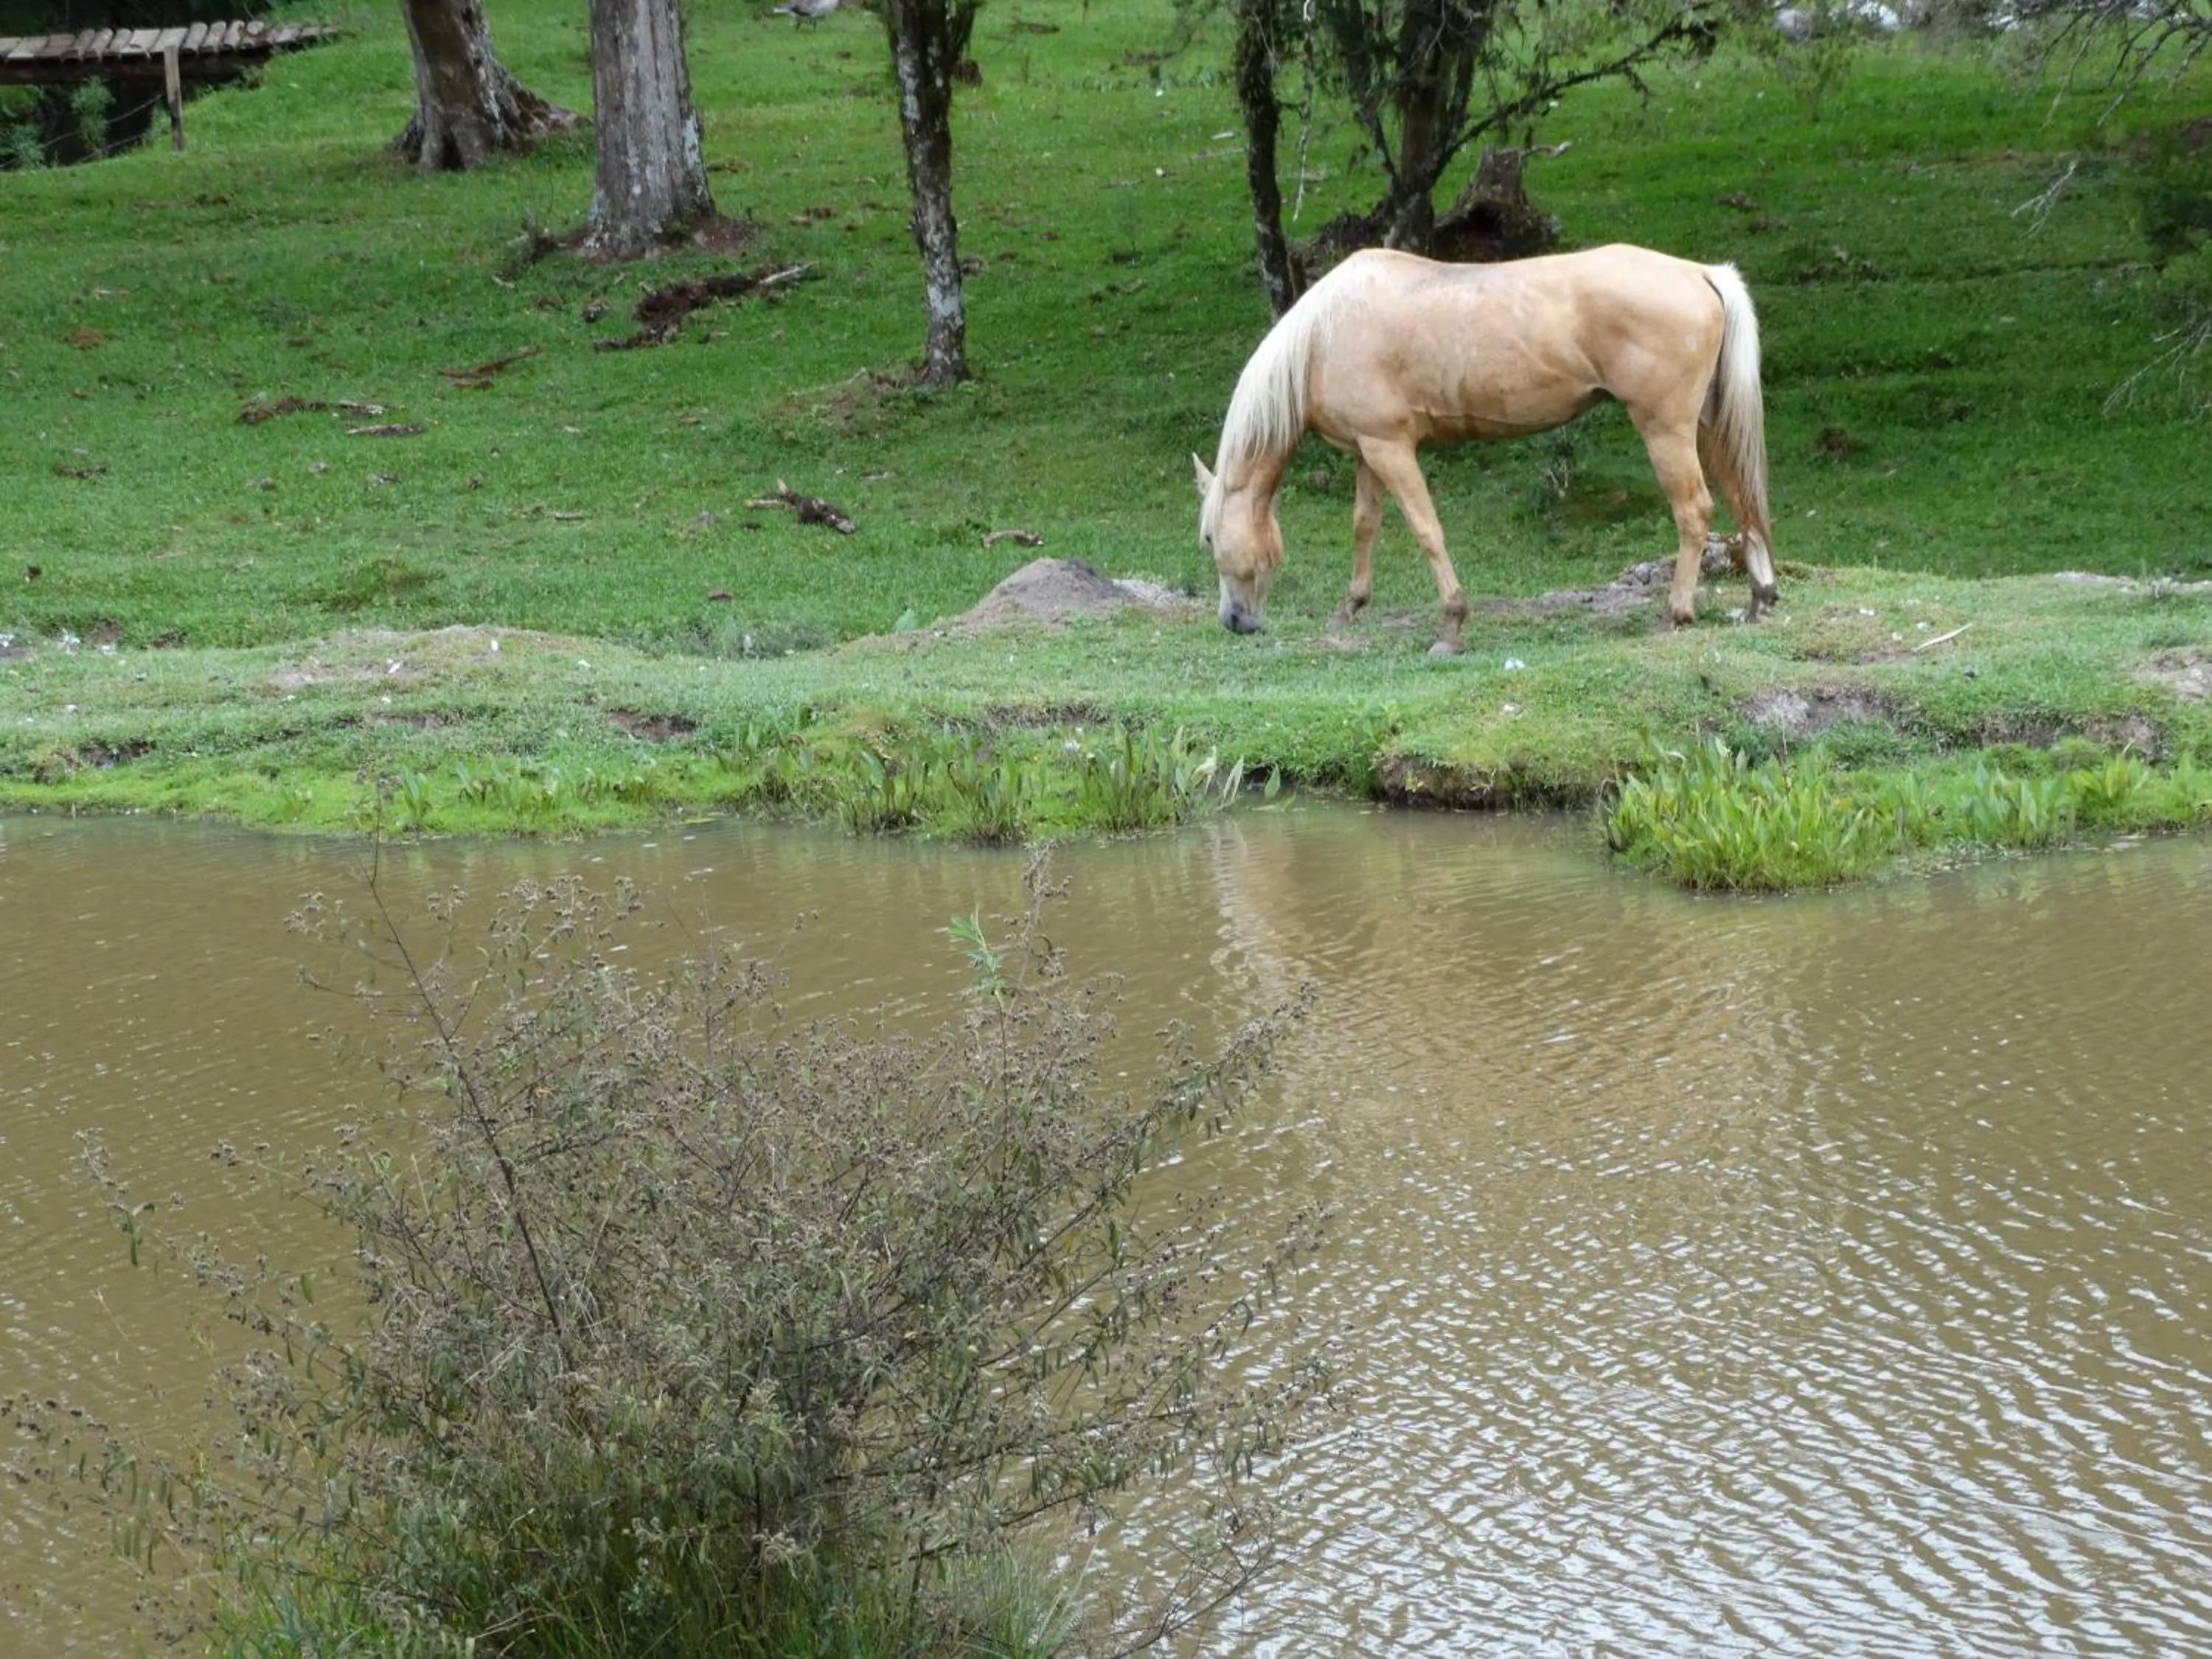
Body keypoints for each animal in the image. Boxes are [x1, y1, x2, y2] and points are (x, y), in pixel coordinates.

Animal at [1193, 243, 1779, 655]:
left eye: (1208, 538)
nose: (1234, 622)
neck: (1323, 334)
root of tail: (1702, 272)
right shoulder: (1367, 451)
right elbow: (1365, 526)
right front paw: (1350, 607)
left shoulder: (1391, 449)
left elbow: (1426, 530)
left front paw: (1451, 626)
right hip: (1707, 425)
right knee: (1743, 498)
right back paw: (1761, 599)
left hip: (1666, 429)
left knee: (1694, 510)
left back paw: (1676, 613)